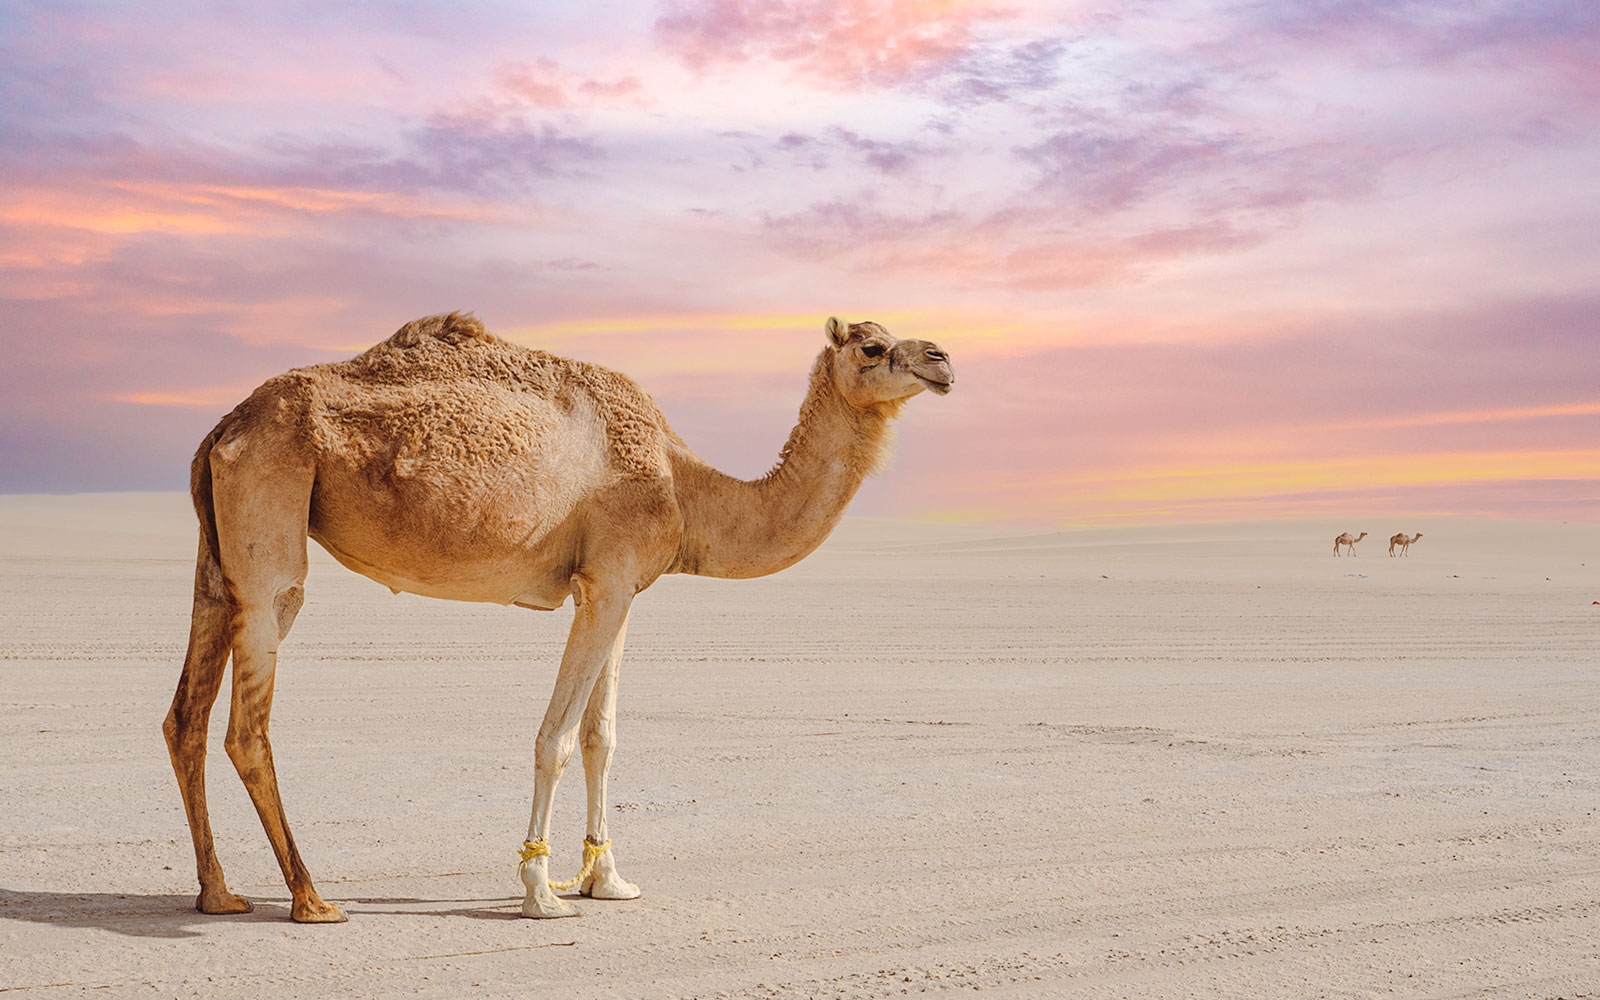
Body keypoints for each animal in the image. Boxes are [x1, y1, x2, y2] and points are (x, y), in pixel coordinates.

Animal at [162, 313, 953, 923]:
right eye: (871, 347)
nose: (942, 359)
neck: (685, 486)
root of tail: (224, 426)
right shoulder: (608, 578)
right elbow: (558, 739)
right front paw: (541, 892)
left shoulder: (615, 587)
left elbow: (603, 737)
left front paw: (607, 880)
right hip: (273, 508)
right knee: (250, 714)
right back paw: (312, 898)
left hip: (217, 550)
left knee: (186, 714)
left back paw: (219, 893)